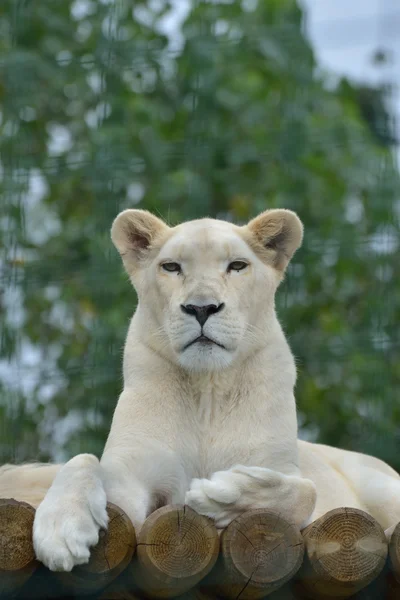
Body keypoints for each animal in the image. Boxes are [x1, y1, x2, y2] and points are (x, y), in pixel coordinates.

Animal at [0, 211, 400, 572]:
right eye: (171, 267)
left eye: (237, 266)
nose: (202, 307)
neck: (207, 389)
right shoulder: (132, 483)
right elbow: (83, 460)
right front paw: (63, 530)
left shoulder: (286, 477)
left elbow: (305, 491)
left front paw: (222, 494)